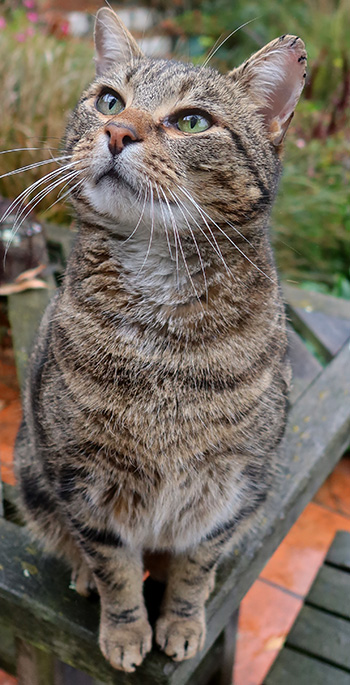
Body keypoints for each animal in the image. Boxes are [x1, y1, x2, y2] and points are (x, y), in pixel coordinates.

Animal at [13, 9, 306, 672]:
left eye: (192, 120)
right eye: (109, 100)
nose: (117, 130)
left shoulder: (233, 488)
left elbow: (195, 567)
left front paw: (182, 620)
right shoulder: (81, 481)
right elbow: (116, 568)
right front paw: (125, 631)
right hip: (33, 472)